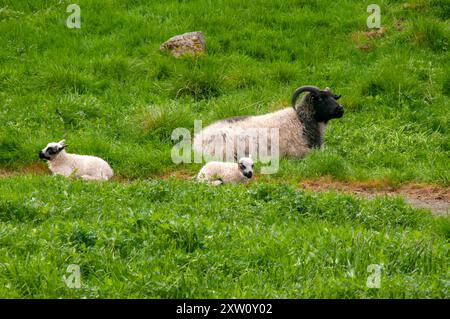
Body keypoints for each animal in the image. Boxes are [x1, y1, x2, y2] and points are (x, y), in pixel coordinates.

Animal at [193, 85, 344, 161]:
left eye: (333, 97)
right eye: (320, 99)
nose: (340, 109)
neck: (301, 121)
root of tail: (197, 140)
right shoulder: (298, 151)